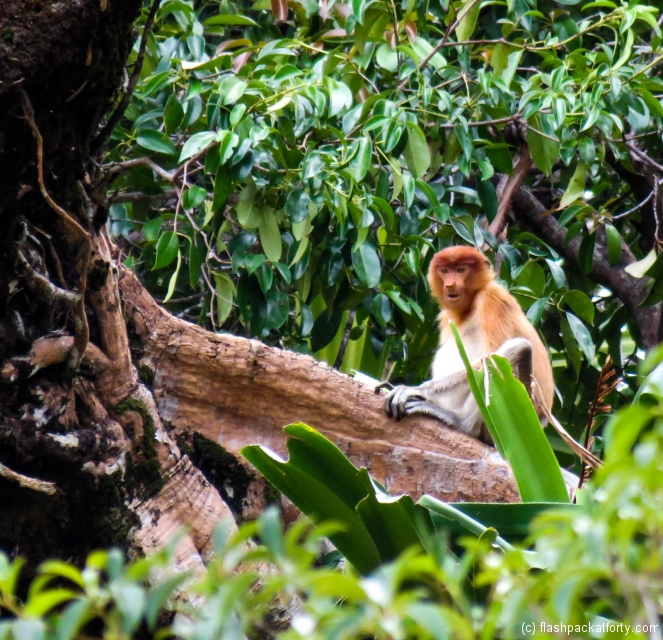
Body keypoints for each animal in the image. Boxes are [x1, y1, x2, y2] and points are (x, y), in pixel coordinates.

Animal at [384, 246, 554, 441]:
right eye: (444, 271)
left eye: (461, 270)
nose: (450, 285)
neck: (471, 304)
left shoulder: (491, 299)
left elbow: (492, 357)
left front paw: (414, 390)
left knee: (515, 351)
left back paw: (461, 422)